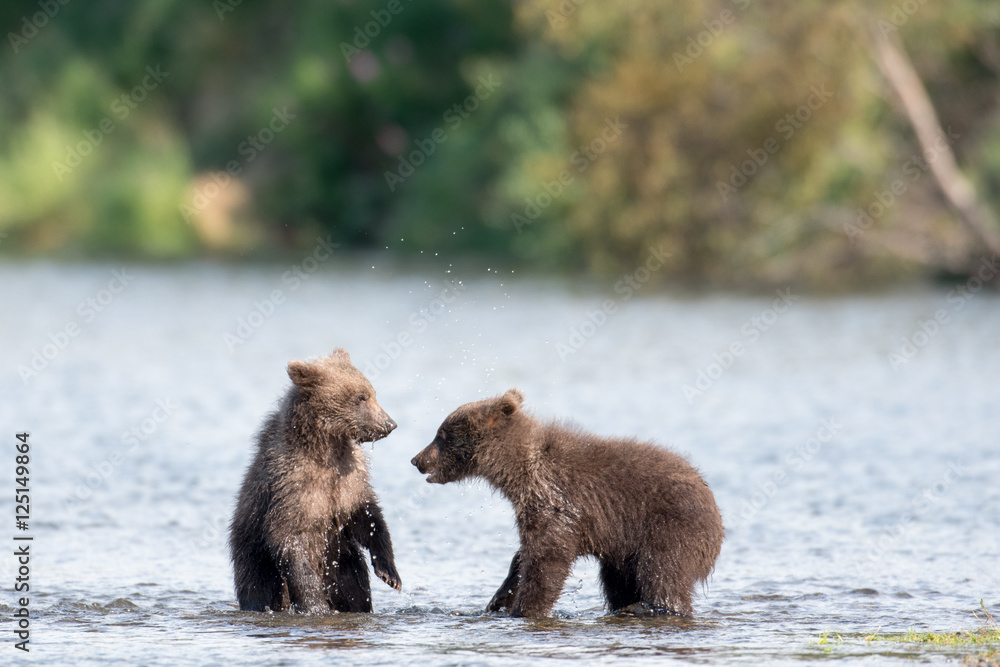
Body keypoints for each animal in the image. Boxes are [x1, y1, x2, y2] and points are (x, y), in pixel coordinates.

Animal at [229, 348, 402, 613]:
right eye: (361, 397)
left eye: (372, 393)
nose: (389, 424)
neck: (326, 447)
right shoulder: (292, 485)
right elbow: (288, 537)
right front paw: (316, 605)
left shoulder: (349, 481)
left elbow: (368, 516)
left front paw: (390, 574)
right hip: (254, 553)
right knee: (259, 586)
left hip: (342, 560)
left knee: (356, 589)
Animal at [411, 389, 723, 618]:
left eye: (441, 435)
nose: (416, 459)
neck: (517, 473)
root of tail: (717, 517)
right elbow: (525, 555)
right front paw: (500, 597)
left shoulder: (554, 500)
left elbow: (548, 559)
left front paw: (525, 609)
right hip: (624, 548)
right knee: (620, 581)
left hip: (670, 527)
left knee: (662, 573)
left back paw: (651, 607)